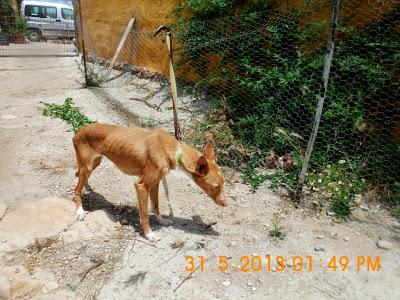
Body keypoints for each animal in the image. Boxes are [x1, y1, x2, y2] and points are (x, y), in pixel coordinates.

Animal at [73, 123, 227, 240]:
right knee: (76, 190)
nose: (225, 204)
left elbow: (156, 205)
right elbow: (145, 214)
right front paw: (149, 234)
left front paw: (161, 220)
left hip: (94, 164)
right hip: (87, 167)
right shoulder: (141, 186)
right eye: (215, 186)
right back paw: (80, 211)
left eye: (224, 183)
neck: (173, 150)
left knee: (80, 178)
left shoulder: (156, 183)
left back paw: (87, 187)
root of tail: (80, 130)